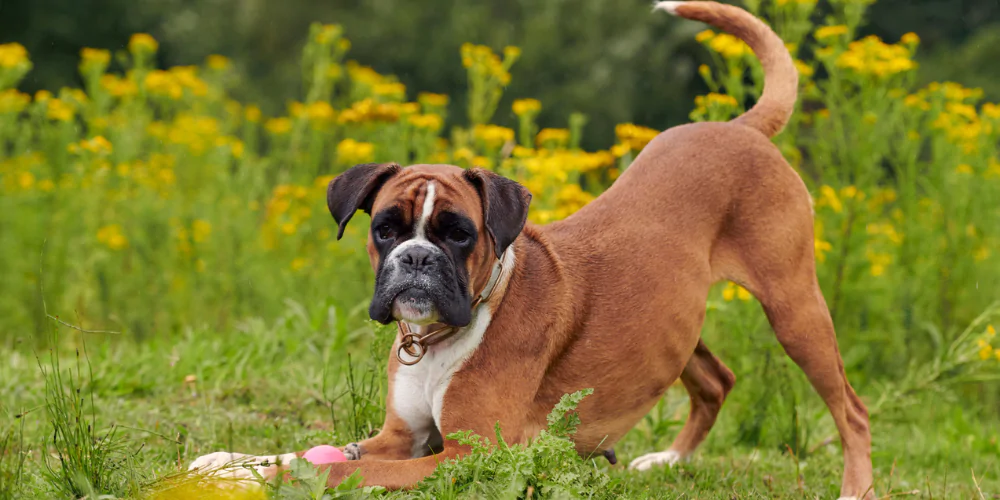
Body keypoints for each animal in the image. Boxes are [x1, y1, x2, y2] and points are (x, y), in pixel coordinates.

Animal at [189, 1, 876, 498]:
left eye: (458, 234)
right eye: (386, 227)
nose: (416, 259)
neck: (442, 336)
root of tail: (740, 128)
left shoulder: (460, 457)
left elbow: (335, 466)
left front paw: (265, 476)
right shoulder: (399, 437)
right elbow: (312, 448)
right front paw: (228, 461)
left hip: (794, 308)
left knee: (853, 410)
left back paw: (853, 487)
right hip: (675, 323)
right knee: (716, 380)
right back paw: (667, 461)